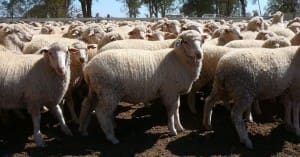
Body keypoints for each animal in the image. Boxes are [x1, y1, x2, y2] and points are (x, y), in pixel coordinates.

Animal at [78, 29, 207, 144]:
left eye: (201, 41)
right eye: (185, 42)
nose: (199, 55)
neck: (179, 59)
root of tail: (88, 68)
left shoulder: (175, 91)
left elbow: (176, 109)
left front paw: (180, 127)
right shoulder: (169, 91)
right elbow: (171, 111)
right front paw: (173, 130)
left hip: (96, 90)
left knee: (86, 105)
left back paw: (83, 130)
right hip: (108, 92)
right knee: (102, 113)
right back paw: (112, 137)